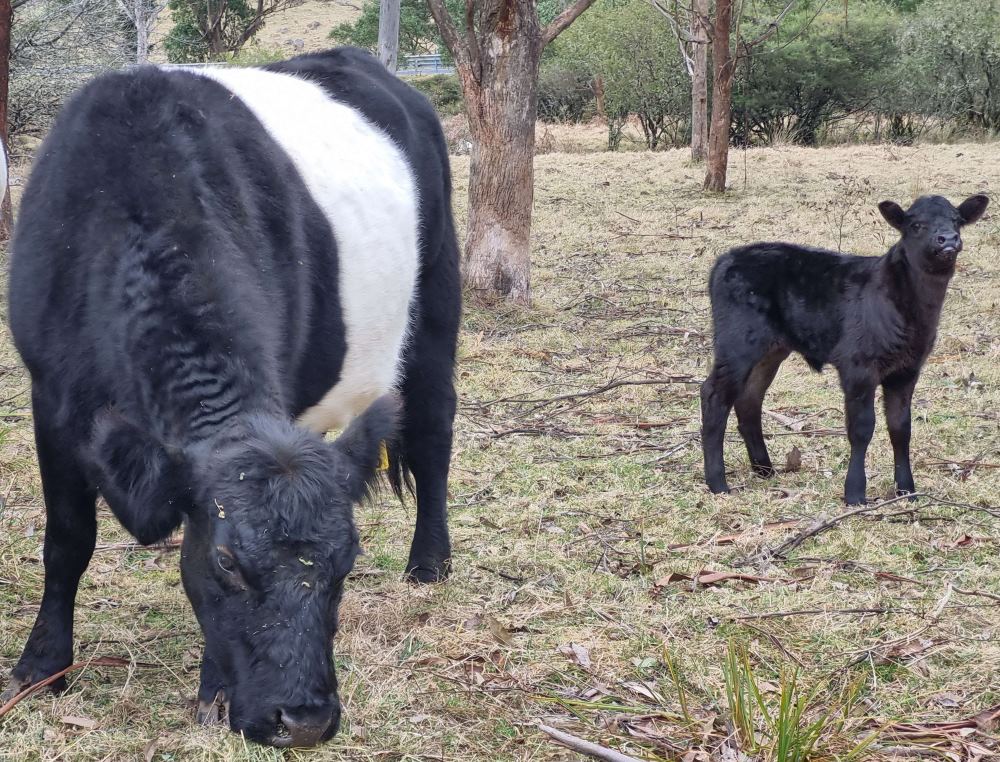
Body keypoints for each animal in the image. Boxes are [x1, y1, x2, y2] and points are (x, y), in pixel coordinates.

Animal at [4, 47, 460, 748]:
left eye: (348, 562)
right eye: (225, 562)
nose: (303, 720)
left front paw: (215, 692)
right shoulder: (50, 395)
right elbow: (67, 540)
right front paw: (41, 667)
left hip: (437, 296)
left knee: (434, 431)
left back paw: (429, 563)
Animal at [701, 194, 989, 505]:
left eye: (956, 220)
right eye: (916, 225)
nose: (947, 238)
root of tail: (726, 258)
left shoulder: (907, 369)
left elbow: (900, 428)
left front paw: (906, 490)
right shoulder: (858, 366)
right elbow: (861, 428)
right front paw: (854, 493)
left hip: (771, 350)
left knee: (749, 398)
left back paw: (765, 469)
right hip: (737, 342)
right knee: (714, 395)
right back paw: (717, 483)